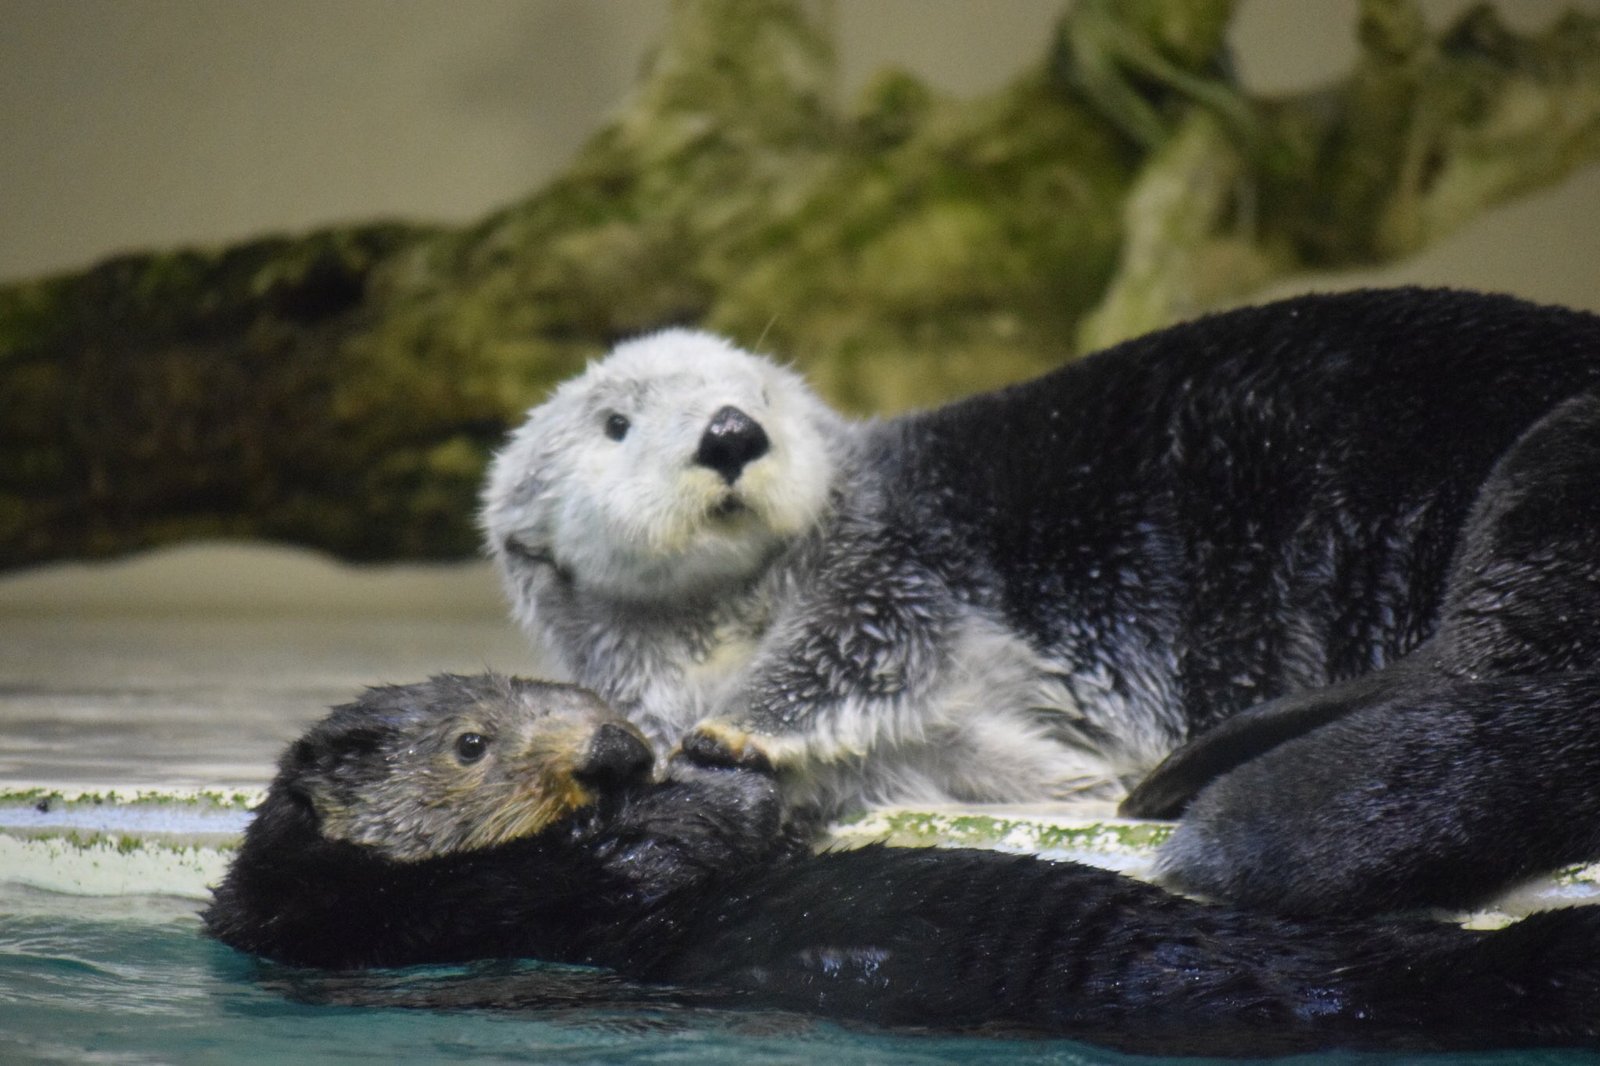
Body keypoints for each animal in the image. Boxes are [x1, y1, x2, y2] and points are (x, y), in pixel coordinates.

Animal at [203, 672, 1600, 1056]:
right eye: (472, 743)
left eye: (577, 693)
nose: (611, 746)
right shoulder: (466, 904)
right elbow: (640, 864)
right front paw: (714, 768)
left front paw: (720, 743)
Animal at [480, 286, 1600, 909]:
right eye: (617, 424)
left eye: (755, 396)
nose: (729, 433)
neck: (728, 621)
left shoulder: (894, 556)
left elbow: (858, 642)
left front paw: (734, 729)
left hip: (1550, 472)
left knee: (1482, 672)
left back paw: (1180, 789)